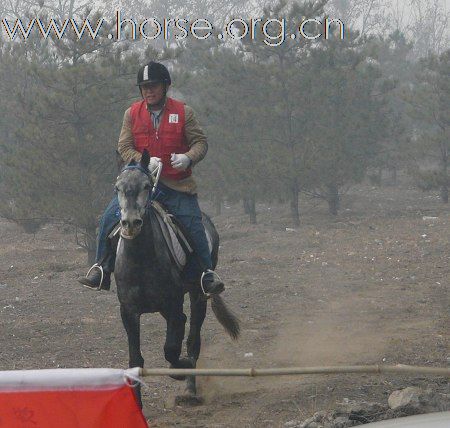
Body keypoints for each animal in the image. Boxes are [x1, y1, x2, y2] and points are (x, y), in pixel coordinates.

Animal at [113, 150, 239, 404]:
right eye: (117, 187)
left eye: (146, 186)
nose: (130, 223)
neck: (141, 259)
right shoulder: (129, 311)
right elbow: (135, 360)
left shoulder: (173, 304)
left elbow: (171, 349)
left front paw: (181, 369)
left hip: (197, 296)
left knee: (192, 340)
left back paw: (190, 388)